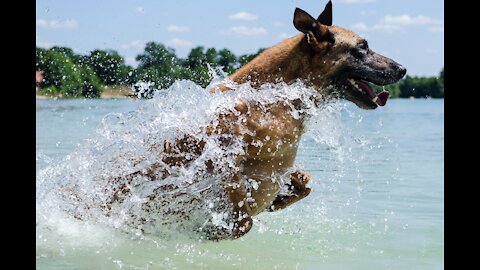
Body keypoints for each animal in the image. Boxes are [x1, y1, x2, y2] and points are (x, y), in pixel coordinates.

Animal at [75, 0, 404, 240]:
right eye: (362, 47)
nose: (402, 68)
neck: (277, 97)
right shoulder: (220, 156)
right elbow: (241, 214)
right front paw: (215, 229)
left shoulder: (278, 166)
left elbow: (305, 182)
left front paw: (279, 200)